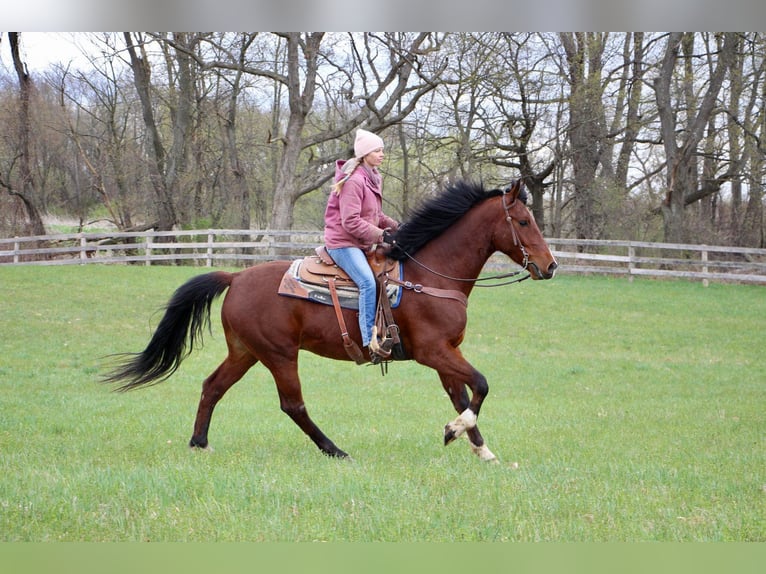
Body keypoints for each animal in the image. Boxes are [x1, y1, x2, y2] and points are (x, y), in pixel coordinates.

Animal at [102, 180, 560, 464]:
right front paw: (454, 431)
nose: (550, 266)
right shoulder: (433, 352)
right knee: (293, 405)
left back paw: (199, 443)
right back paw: (335, 450)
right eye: (523, 221)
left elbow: (462, 395)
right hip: (278, 354)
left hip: (245, 352)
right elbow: (480, 386)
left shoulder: (447, 353)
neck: (429, 276)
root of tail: (235, 277)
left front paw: (479, 448)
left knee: (212, 387)